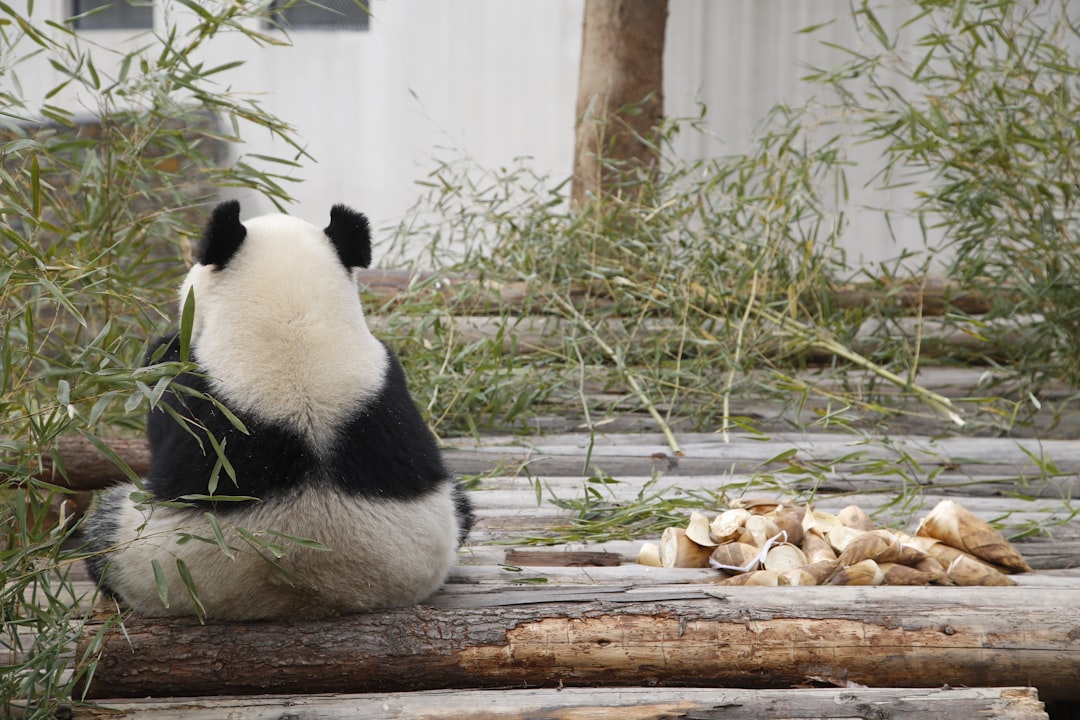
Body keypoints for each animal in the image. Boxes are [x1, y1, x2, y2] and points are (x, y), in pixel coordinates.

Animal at [82, 200, 474, 621]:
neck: (293, 325)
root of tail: (316, 594)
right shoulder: (391, 385)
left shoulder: (190, 392)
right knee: (463, 504)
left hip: (147, 561)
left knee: (102, 531)